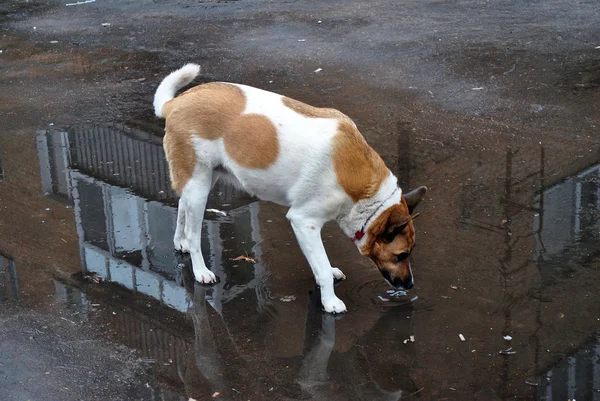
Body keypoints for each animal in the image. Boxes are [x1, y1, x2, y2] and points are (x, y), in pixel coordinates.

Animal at [154, 63, 426, 312]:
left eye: (411, 252)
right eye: (401, 255)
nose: (410, 285)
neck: (364, 192)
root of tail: (175, 103)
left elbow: (320, 263)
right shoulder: (303, 221)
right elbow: (321, 267)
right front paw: (330, 302)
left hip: (203, 179)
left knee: (182, 205)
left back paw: (179, 242)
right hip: (199, 186)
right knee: (193, 232)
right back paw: (200, 269)